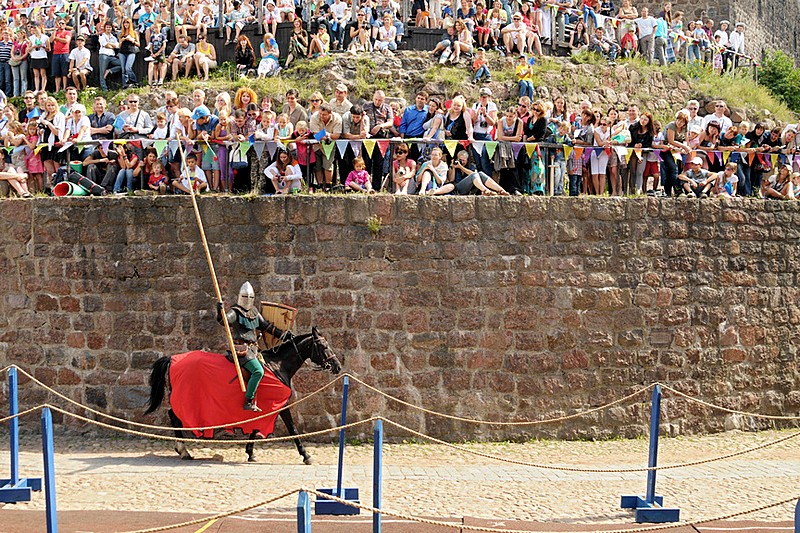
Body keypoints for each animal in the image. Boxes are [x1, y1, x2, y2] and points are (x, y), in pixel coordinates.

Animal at [145, 324, 342, 462]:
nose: (337, 366)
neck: (278, 365)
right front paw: (306, 455)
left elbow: (255, 427)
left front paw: (250, 452)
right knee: (174, 415)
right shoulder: (281, 404)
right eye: (323, 346)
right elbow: (292, 428)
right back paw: (183, 450)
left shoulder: (264, 406)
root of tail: (172, 358)